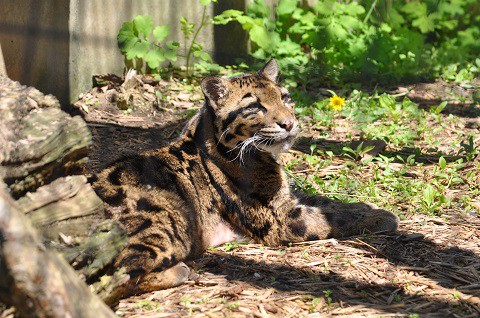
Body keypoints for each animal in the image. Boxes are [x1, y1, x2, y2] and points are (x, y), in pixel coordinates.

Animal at [93, 59, 398, 300]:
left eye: (285, 98)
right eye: (256, 107)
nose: (289, 123)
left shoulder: (287, 198)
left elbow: (328, 203)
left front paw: (367, 207)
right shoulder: (279, 217)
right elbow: (332, 217)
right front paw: (381, 217)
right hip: (169, 214)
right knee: (110, 282)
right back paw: (179, 271)